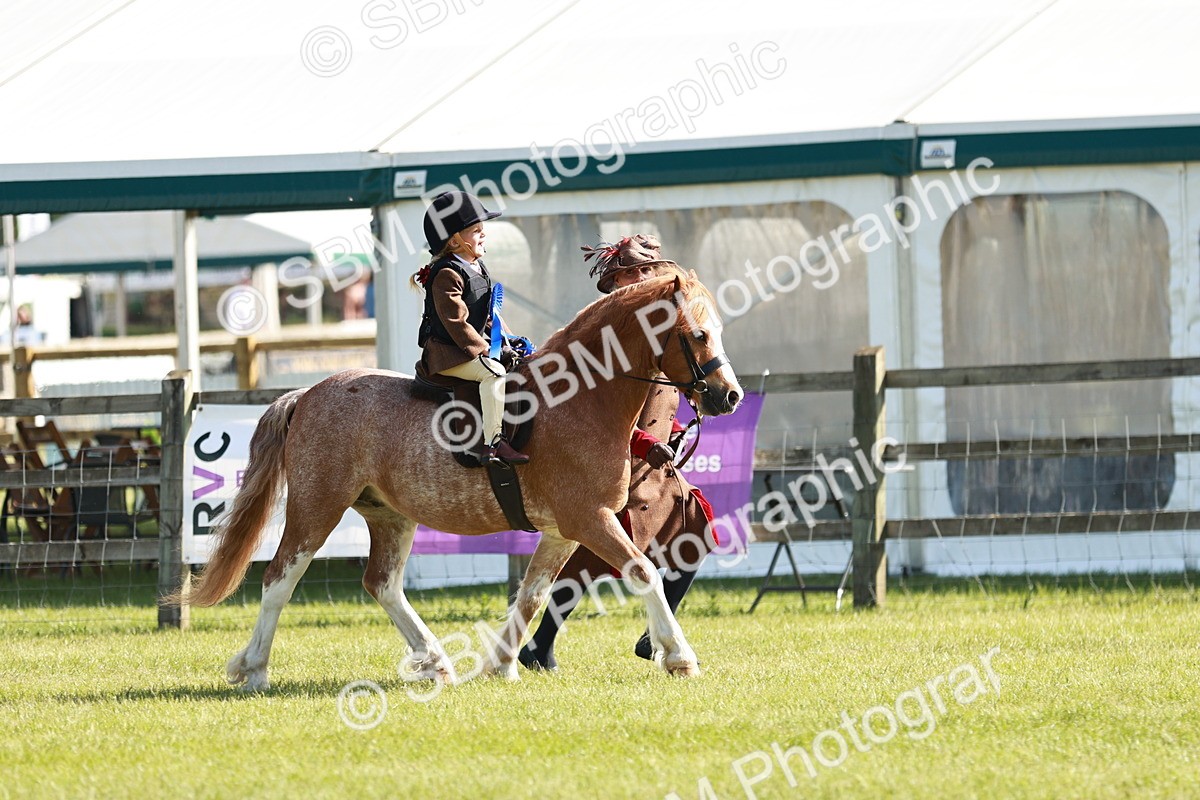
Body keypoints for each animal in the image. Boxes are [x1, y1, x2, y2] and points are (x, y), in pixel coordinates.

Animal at [172, 269, 743, 690]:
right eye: (697, 334)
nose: (730, 396)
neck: (579, 399)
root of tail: (308, 394)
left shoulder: (563, 530)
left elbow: (533, 595)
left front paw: (502, 664)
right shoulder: (591, 519)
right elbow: (644, 572)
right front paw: (679, 656)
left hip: (389, 516)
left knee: (382, 584)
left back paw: (435, 662)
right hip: (317, 507)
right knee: (279, 579)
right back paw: (254, 670)